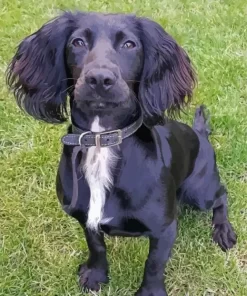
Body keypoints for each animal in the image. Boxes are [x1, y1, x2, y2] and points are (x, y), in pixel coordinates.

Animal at [6, 11, 236, 296]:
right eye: (78, 42)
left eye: (129, 44)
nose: (99, 79)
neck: (101, 141)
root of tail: (200, 134)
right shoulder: (86, 217)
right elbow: (96, 246)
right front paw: (96, 275)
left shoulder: (164, 229)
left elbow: (154, 264)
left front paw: (150, 292)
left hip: (199, 192)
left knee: (221, 195)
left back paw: (223, 230)